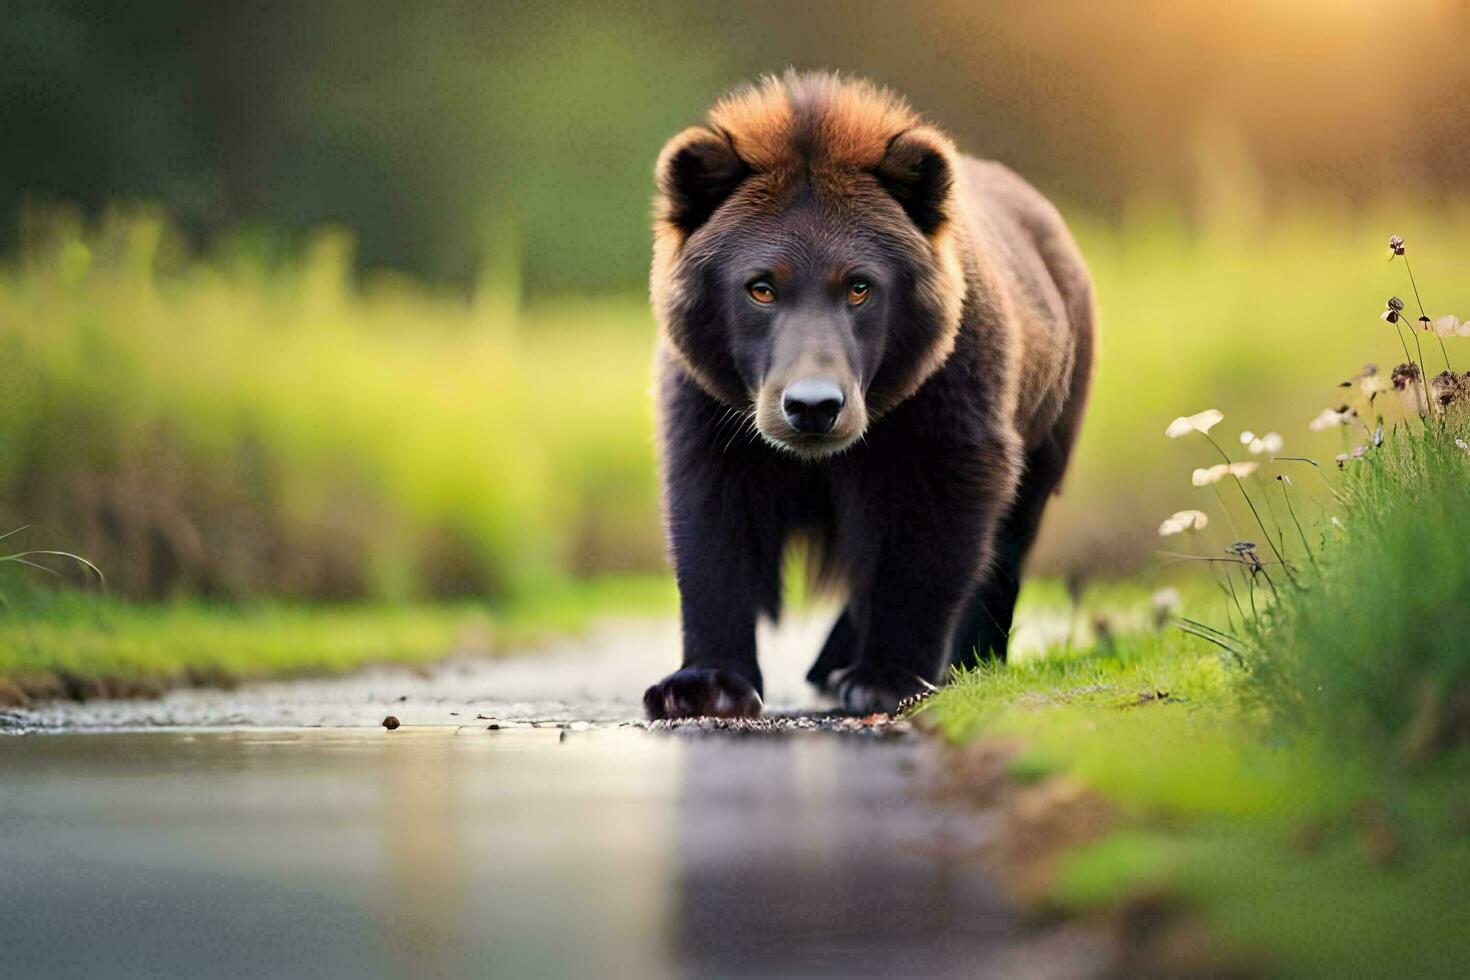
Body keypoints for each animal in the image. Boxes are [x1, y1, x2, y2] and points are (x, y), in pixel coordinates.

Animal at [643, 70, 1093, 719]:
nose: (813, 407)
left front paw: (889, 676)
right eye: (760, 287)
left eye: (860, 286)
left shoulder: (942, 404)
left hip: (1052, 405)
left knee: (1013, 531)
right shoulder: (713, 408)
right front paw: (703, 684)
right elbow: (714, 527)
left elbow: (932, 530)